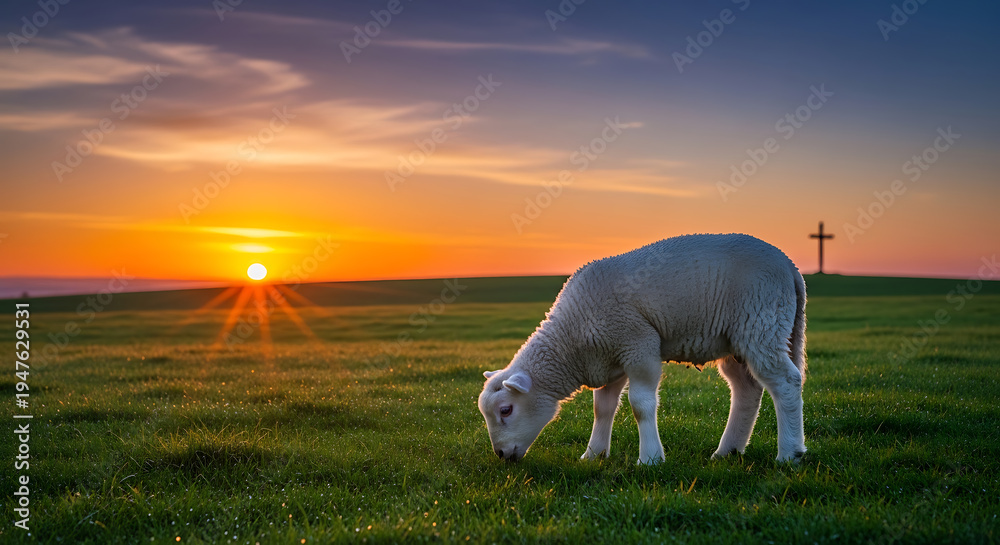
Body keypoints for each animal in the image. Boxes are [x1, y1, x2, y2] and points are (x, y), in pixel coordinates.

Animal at [477, 233, 808, 465]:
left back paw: (789, 453)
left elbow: (640, 405)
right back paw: (727, 451)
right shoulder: (609, 360)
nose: (501, 455)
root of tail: (791, 268)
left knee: (785, 381)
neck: (570, 341)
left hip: (762, 322)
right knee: (746, 389)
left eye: (505, 410)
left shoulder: (639, 345)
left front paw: (650, 459)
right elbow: (602, 408)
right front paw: (593, 455)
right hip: (736, 340)